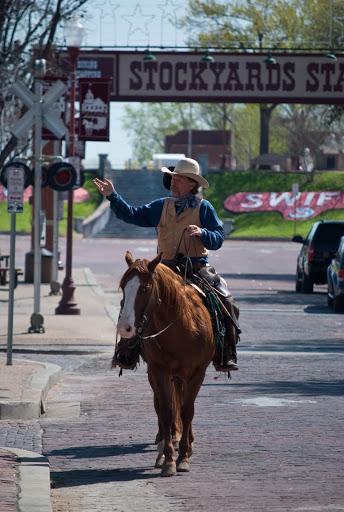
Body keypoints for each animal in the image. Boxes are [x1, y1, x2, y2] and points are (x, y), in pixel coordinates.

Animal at [115, 251, 215, 476]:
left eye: (145, 288)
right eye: (123, 286)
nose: (125, 327)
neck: (183, 329)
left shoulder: (198, 373)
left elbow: (187, 411)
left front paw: (184, 457)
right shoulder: (159, 371)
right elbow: (167, 411)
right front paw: (169, 459)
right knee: (160, 406)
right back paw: (162, 447)